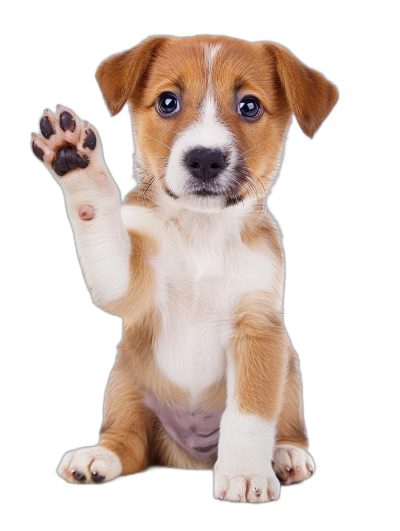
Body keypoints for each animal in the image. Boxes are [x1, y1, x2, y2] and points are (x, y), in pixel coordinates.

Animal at [31, 36, 338, 502]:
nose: (205, 159)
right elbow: (101, 230)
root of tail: (191, 454)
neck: (202, 232)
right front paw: (77, 163)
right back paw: (98, 457)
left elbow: (248, 415)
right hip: (125, 386)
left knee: (285, 425)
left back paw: (286, 456)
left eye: (249, 106)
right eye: (168, 102)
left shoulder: (258, 330)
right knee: (128, 442)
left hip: (288, 372)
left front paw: (244, 473)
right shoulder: (128, 282)